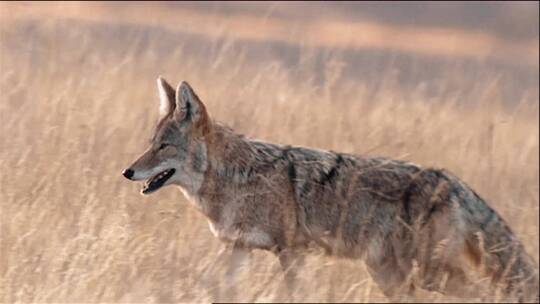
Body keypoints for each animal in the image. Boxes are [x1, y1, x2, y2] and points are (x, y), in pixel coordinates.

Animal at [123, 76, 540, 302]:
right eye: (150, 143)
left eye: (164, 147)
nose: (128, 171)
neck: (238, 176)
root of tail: (455, 181)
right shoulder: (238, 247)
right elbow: (209, 285)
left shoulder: (291, 252)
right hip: (394, 278)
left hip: (429, 275)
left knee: (489, 294)